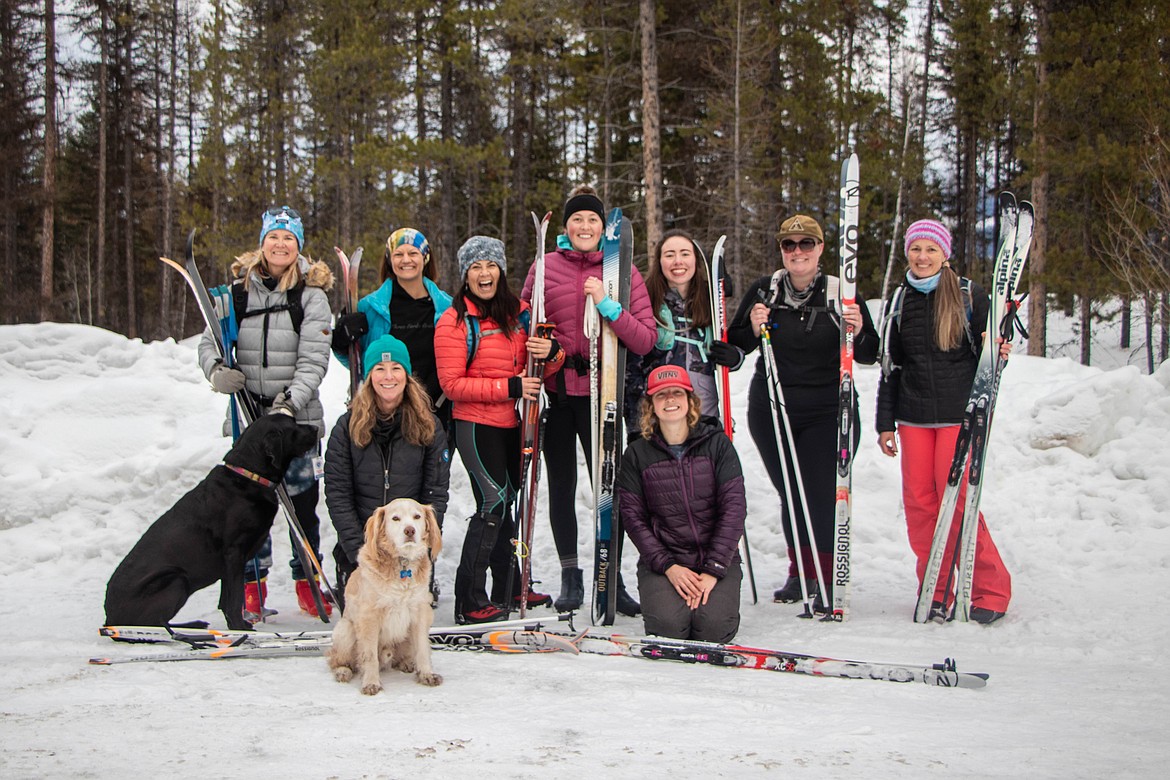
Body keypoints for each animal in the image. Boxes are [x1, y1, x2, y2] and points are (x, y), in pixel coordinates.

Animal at [102, 413, 315, 626]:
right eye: (293, 426)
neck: (250, 476)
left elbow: (226, 601)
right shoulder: (234, 552)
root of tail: (109, 617)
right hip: (177, 580)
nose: (315, 428)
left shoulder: (228, 562)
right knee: (157, 623)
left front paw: (235, 626)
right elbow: (235, 599)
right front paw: (240, 627)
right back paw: (193, 626)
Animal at [327, 500, 439, 696]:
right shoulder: (369, 617)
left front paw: (426, 674)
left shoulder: (420, 612)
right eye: (395, 518)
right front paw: (371, 683)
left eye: (417, 516)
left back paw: (407, 663)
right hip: (345, 629)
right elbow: (370, 656)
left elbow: (423, 649)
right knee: (338, 660)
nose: (409, 530)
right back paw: (343, 671)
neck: (402, 563)